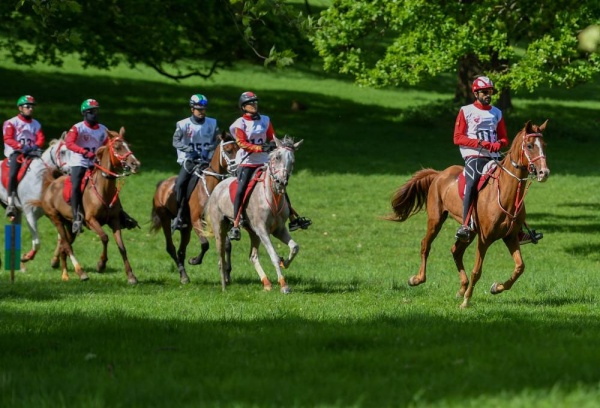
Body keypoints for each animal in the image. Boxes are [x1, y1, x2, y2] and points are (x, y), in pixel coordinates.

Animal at [35, 126, 142, 284]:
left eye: (128, 145)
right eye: (117, 147)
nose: (136, 164)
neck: (103, 189)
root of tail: (51, 184)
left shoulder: (115, 221)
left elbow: (122, 247)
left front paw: (131, 276)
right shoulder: (91, 220)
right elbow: (104, 237)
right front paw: (101, 265)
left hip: (69, 225)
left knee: (64, 246)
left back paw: (65, 274)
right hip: (56, 219)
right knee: (66, 245)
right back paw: (81, 272)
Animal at [150, 131, 239, 284]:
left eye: (238, 149)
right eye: (228, 150)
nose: (237, 169)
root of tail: (162, 185)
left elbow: (226, 244)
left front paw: (227, 274)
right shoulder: (197, 220)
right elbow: (205, 244)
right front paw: (195, 260)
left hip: (186, 228)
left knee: (181, 250)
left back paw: (184, 274)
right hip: (166, 220)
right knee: (171, 248)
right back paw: (183, 276)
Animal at [204, 136, 302, 294]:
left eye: (292, 160)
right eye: (277, 157)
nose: (281, 182)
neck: (271, 196)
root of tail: (217, 187)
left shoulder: (278, 230)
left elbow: (294, 247)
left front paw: (284, 263)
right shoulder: (263, 230)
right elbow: (273, 255)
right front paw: (284, 285)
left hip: (253, 233)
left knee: (253, 256)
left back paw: (266, 283)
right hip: (220, 228)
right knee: (221, 258)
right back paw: (224, 286)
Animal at [386, 119, 552, 308]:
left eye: (544, 145)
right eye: (530, 145)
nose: (544, 172)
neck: (505, 194)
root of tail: (439, 174)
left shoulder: (510, 237)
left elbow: (520, 267)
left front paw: (496, 287)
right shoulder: (484, 239)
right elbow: (477, 270)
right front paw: (466, 301)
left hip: (470, 231)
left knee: (456, 251)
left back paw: (462, 288)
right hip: (436, 220)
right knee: (425, 245)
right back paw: (417, 279)